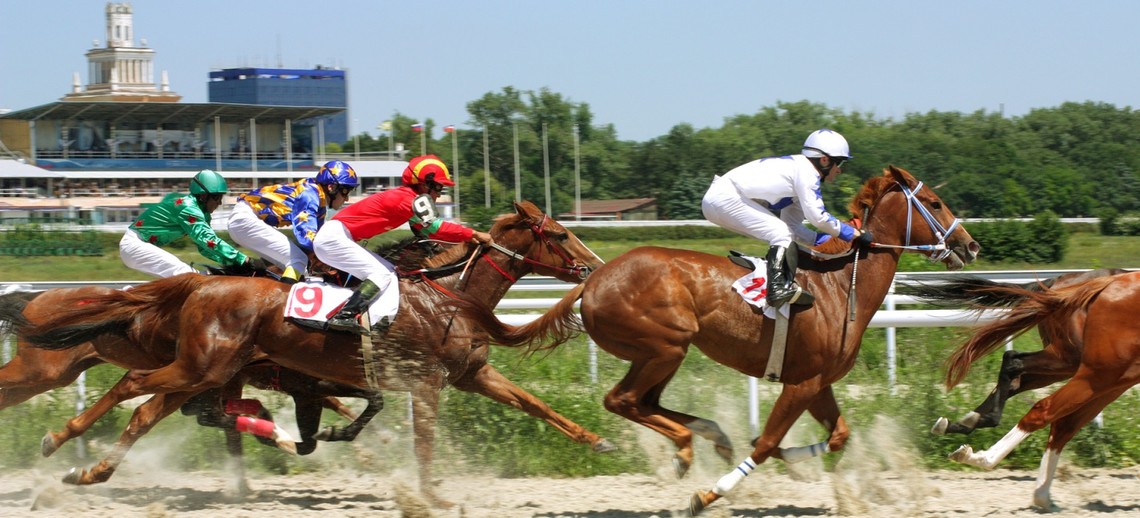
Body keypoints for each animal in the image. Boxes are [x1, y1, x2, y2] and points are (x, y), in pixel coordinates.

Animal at [13, 200, 611, 508]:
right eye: (561, 234)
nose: (597, 267)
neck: (445, 297)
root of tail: (198, 284)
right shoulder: (421, 382)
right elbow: (420, 443)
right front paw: (429, 496)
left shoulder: (471, 374)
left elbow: (536, 405)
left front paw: (599, 440)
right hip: (201, 366)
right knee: (134, 389)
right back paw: (62, 443)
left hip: (206, 370)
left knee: (147, 408)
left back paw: (90, 470)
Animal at [440, 166, 975, 513]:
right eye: (934, 203)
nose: (969, 245)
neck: (841, 286)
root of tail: (592, 280)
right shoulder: (800, 384)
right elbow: (766, 445)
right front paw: (709, 494)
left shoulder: (816, 381)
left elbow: (835, 435)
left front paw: (783, 457)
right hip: (666, 346)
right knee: (623, 400)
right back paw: (684, 449)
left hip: (663, 354)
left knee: (643, 402)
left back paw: (705, 437)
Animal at [898, 269, 1130, 435]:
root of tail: (1054, 284)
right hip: (1070, 357)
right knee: (1012, 361)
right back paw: (980, 420)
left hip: (1069, 364)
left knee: (1016, 380)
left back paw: (963, 423)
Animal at [939, 271, 1140, 508]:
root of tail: (1105, 283)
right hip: (1094, 370)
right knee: (1040, 402)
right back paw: (981, 453)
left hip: (1107, 376)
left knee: (1060, 420)